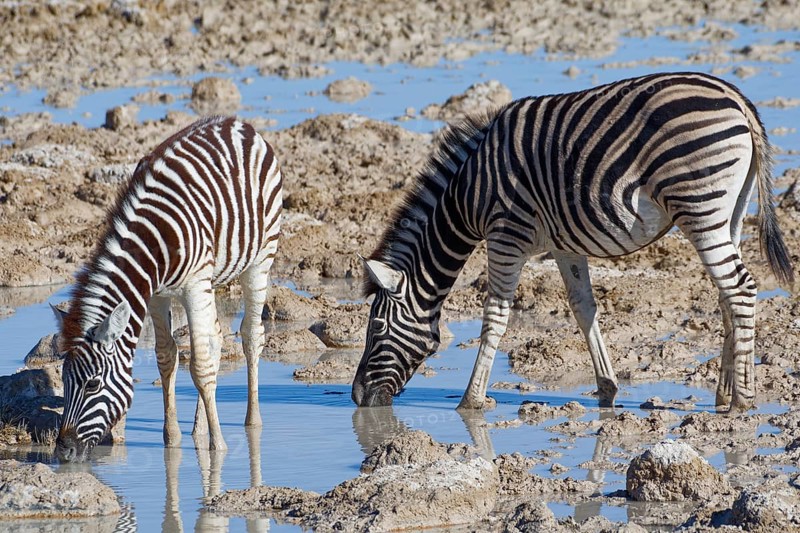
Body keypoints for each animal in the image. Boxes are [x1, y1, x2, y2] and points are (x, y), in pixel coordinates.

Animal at [51, 116, 282, 461]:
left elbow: (199, 366)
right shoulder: (156, 295)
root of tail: (235, 122)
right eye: (64, 381)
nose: (64, 451)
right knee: (215, 339)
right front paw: (172, 438)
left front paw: (218, 447)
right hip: (210, 282)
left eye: (92, 385)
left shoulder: (193, 284)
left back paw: (252, 422)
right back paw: (199, 428)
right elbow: (166, 356)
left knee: (252, 336)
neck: (153, 240)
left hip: (259, 258)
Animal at [352, 72, 794, 413]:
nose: (356, 397)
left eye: (376, 325)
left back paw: (743, 401)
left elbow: (495, 315)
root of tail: (737, 99)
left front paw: (471, 400)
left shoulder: (506, 234)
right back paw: (724, 393)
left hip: (699, 207)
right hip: (729, 211)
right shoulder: (564, 244)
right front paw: (606, 389)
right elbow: (584, 308)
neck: (467, 195)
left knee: (740, 288)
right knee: (726, 294)